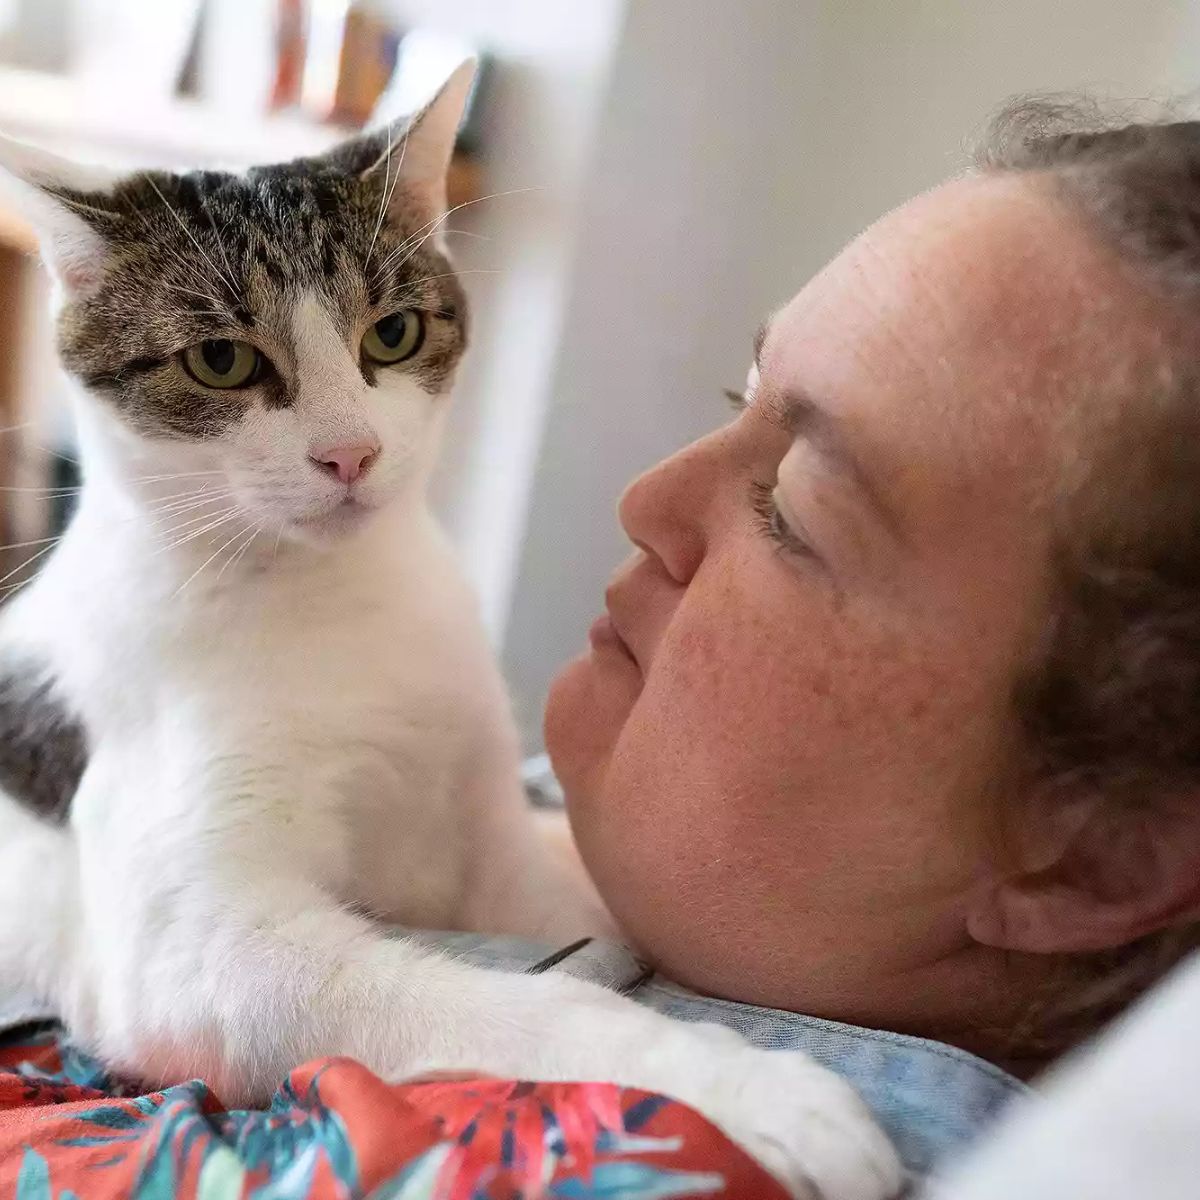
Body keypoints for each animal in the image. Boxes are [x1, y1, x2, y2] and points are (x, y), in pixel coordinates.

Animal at [0, 68, 902, 1200]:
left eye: (390, 334)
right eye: (221, 360)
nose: (349, 453)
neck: (339, 601)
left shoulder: (485, 834)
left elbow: (565, 912)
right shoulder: (182, 944)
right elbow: (497, 999)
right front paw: (752, 1089)